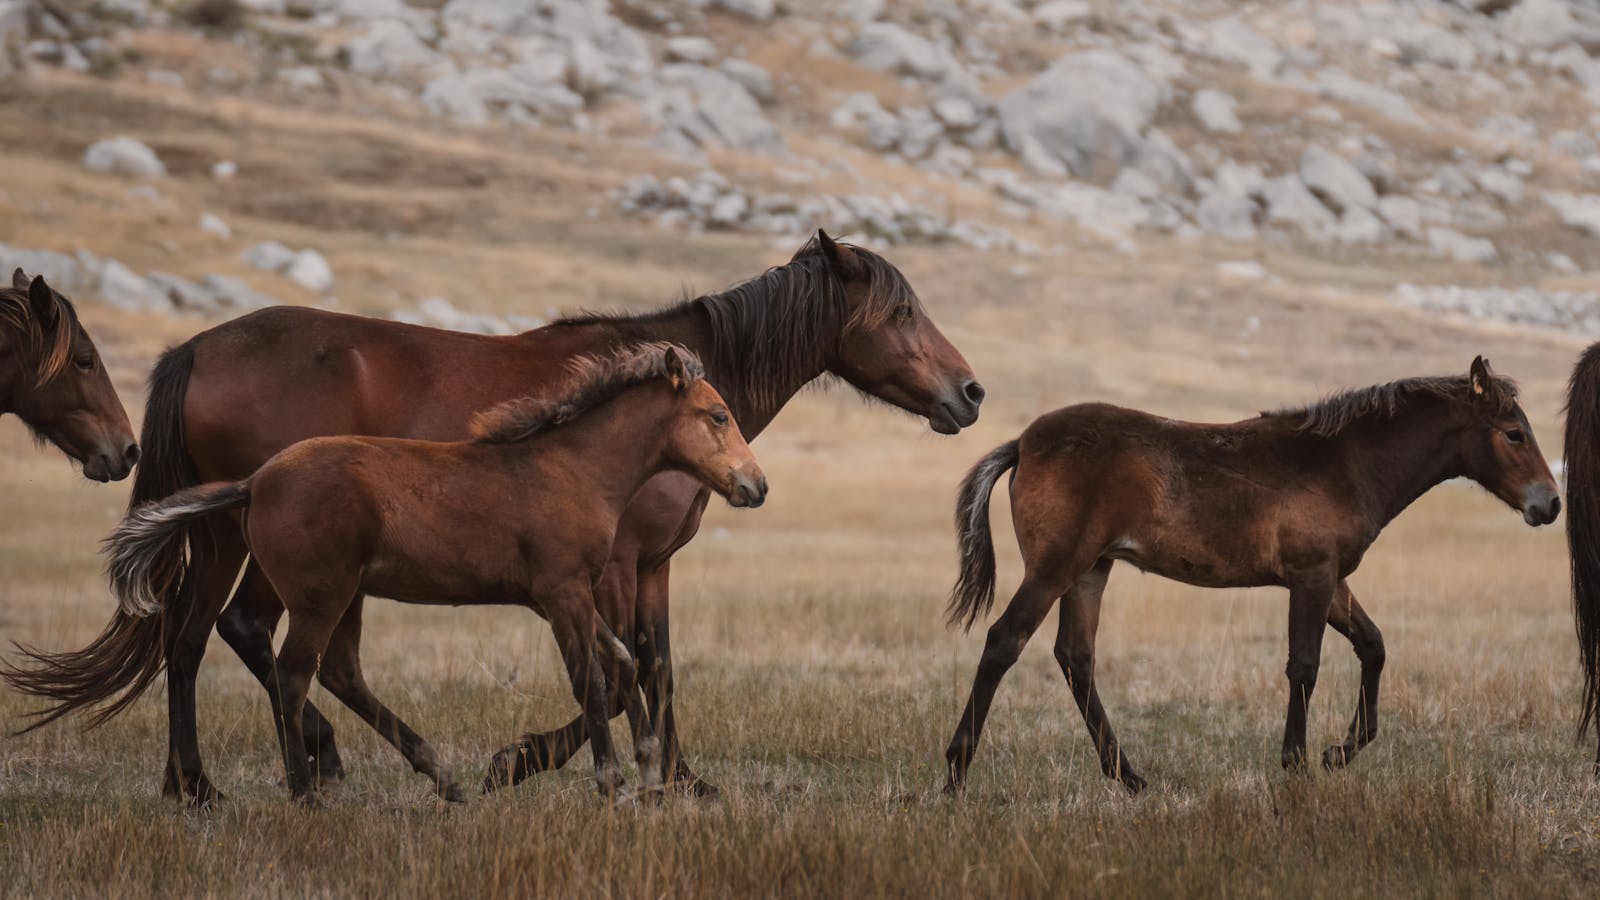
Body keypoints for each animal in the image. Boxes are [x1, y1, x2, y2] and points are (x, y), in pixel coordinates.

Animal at [100, 344, 761, 807]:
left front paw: (649, 772)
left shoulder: (564, 596)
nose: (756, 486)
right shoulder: (563, 593)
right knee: (291, 676)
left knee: (338, 671)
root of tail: (255, 483)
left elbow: (623, 661)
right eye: (718, 415)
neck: (572, 468)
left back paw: (440, 777)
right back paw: (307, 794)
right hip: (320, 598)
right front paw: (613, 785)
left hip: (344, 597)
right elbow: (594, 681)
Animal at [940, 357, 1555, 791]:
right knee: (1005, 641)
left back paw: (1130, 777)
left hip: (1092, 568)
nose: (1549, 504)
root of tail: (1023, 444)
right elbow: (1304, 666)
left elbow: (1373, 646)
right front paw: (1297, 763)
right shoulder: (1311, 578)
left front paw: (1338, 753)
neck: (1346, 463)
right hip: (1055, 567)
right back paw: (955, 774)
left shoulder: (1332, 579)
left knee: (1076, 657)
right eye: (1514, 433)